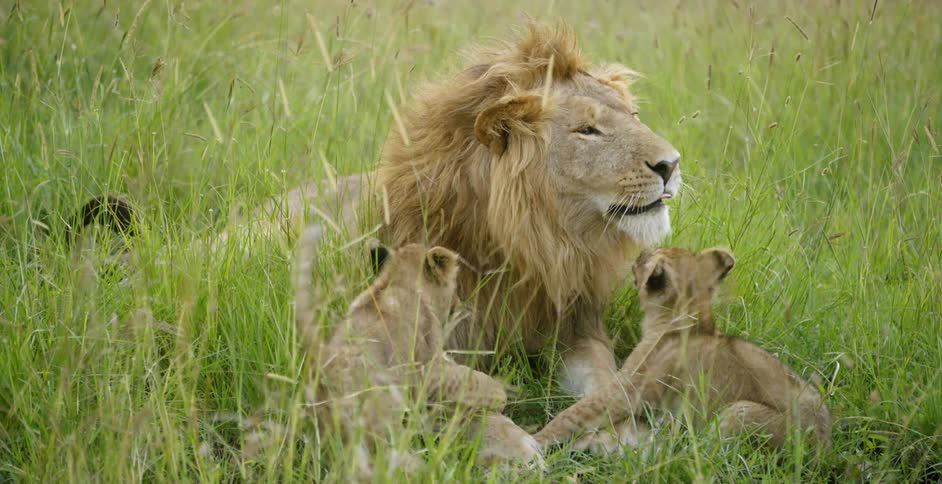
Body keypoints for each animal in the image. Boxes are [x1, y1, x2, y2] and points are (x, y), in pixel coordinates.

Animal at [376, 22, 681, 397]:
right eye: (587, 130)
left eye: (634, 116)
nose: (671, 164)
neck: (525, 247)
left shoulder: (576, 329)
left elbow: (602, 382)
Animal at [533, 247, 832, 453]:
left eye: (648, 257)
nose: (639, 252)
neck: (687, 316)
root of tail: (824, 451)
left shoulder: (628, 389)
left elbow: (573, 414)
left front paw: (536, 442)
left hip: (739, 411)